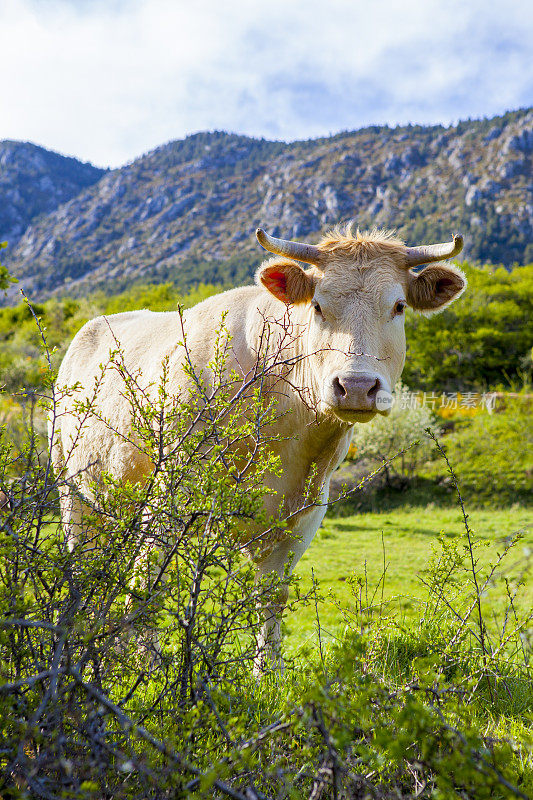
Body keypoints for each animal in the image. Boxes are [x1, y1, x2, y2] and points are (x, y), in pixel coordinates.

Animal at [51, 225, 466, 668]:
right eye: (318, 306)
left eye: (399, 306)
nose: (355, 386)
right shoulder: (170, 496)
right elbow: (147, 586)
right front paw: (148, 669)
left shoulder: (304, 513)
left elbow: (271, 596)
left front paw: (267, 672)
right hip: (72, 493)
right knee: (84, 567)